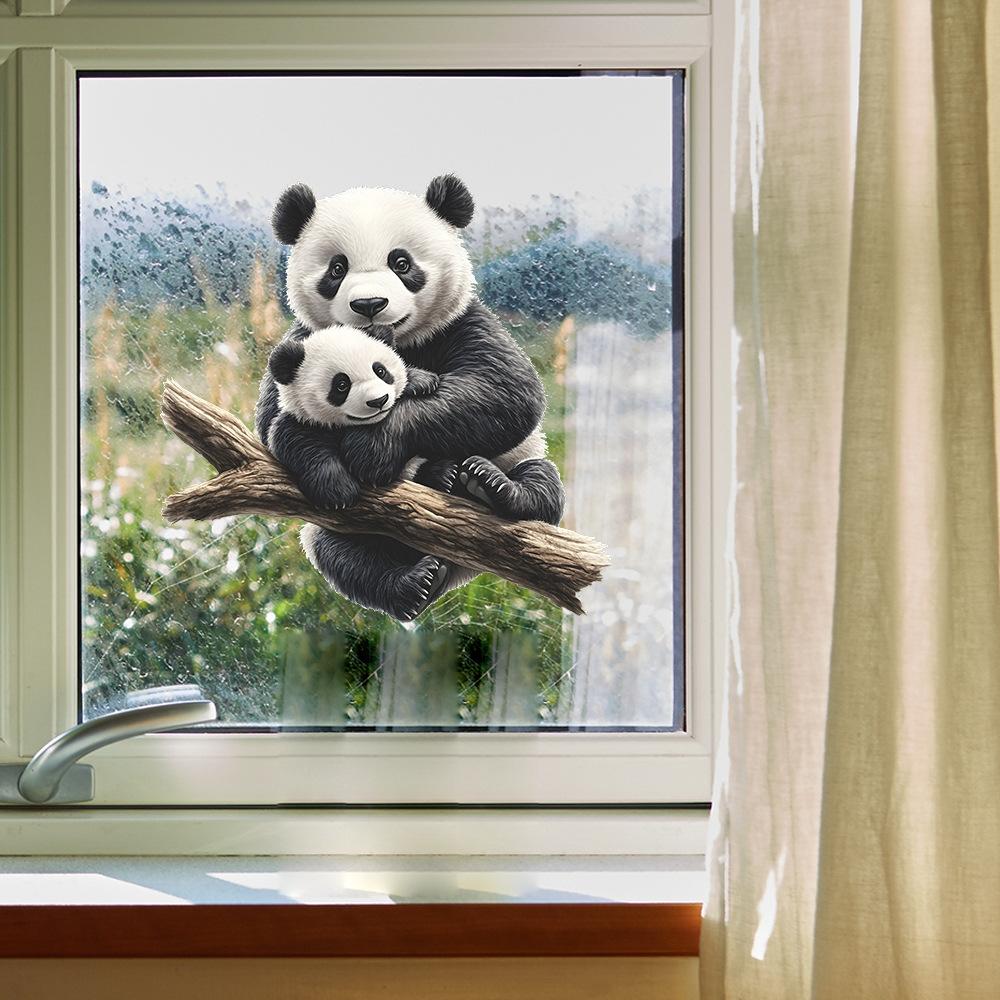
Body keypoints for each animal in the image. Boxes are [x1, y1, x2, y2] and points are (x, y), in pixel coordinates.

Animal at [256, 173, 565, 620]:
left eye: (401, 263)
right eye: (337, 268)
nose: (369, 304)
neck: (397, 341)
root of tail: (456, 566)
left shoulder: (464, 323)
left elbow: (505, 392)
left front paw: (373, 447)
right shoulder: (300, 342)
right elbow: (272, 425)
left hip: (522, 463)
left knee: (542, 483)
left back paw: (487, 485)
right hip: (338, 531)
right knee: (342, 556)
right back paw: (414, 581)